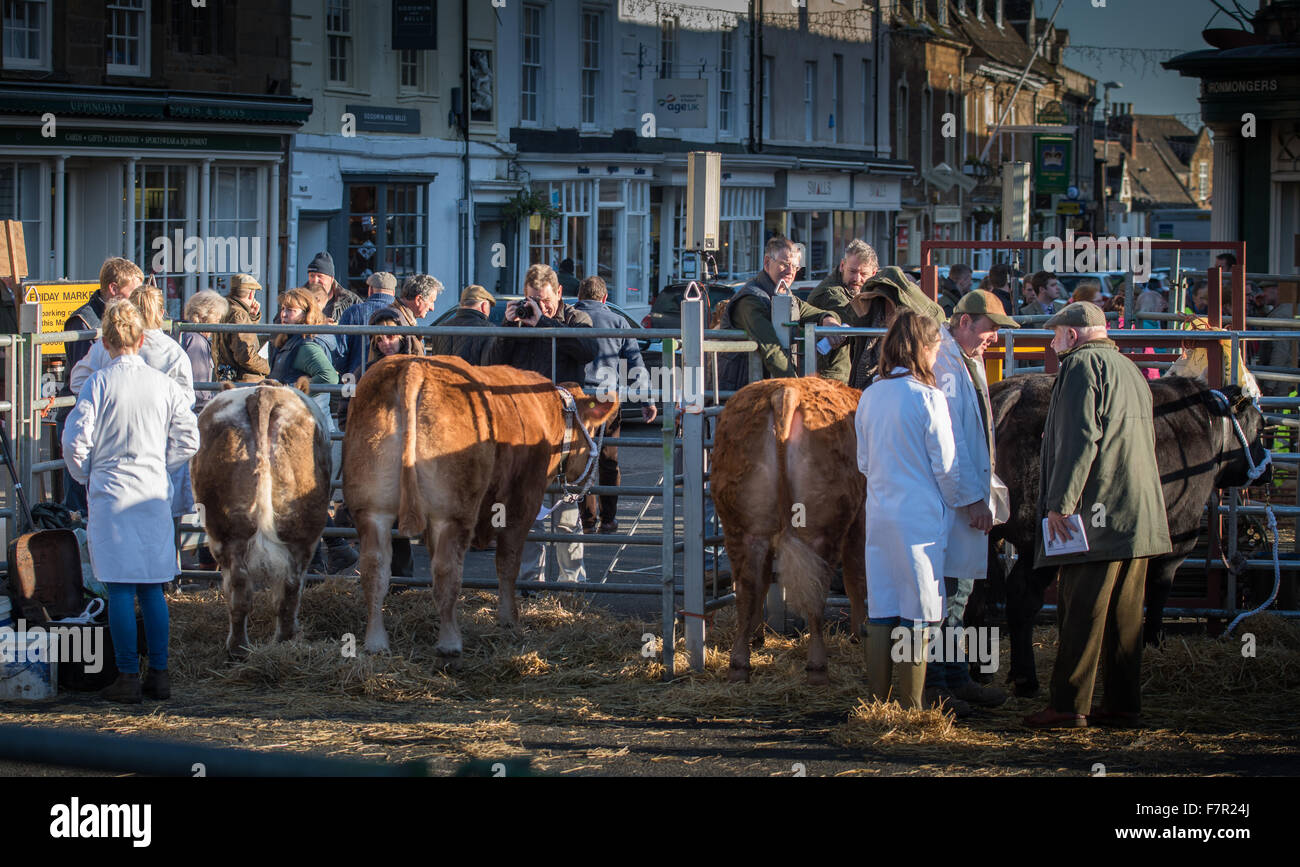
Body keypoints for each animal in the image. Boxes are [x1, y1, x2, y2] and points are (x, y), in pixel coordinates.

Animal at [189, 382, 332, 657]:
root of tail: (262, 393)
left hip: (226, 533)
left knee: (239, 588)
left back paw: (237, 647)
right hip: (301, 531)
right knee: (289, 588)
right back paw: (283, 639)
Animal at [340, 353, 613, 657]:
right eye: (592, 430)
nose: (588, 480)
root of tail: (412, 367)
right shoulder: (522, 502)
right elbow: (508, 562)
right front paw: (509, 619)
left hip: (371, 507)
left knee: (374, 569)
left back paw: (376, 642)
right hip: (452, 512)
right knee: (447, 570)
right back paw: (450, 642)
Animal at [712, 379, 863, 686]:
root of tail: (785, 392)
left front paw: (757, 637)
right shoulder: (861, 518)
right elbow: (858, 579)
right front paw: (859, 635)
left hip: (741, 527)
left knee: (747, 588)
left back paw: (739, 664)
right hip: (822, 528)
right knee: (816, 593)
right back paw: (817, 668)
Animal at [987, 374, 1263, 696]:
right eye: (1260, 427)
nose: (1268, 467)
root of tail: (1016, 392)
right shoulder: (1179, 536)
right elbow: (1157, 589)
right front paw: (1154, 640)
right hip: (1038, 545)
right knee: (1022, 597)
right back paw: (1026, 679)